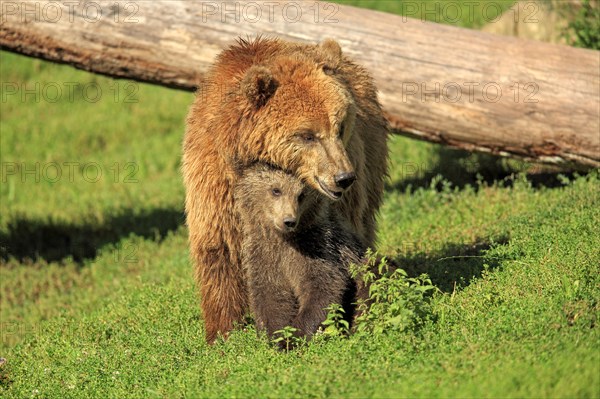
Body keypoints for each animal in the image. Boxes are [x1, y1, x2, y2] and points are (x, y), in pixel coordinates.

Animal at [183, 37, 390, 344]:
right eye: (307, 134)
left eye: (340, 127)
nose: (343, 177)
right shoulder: (215, 178)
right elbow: (219, 247)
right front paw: (223, 332)